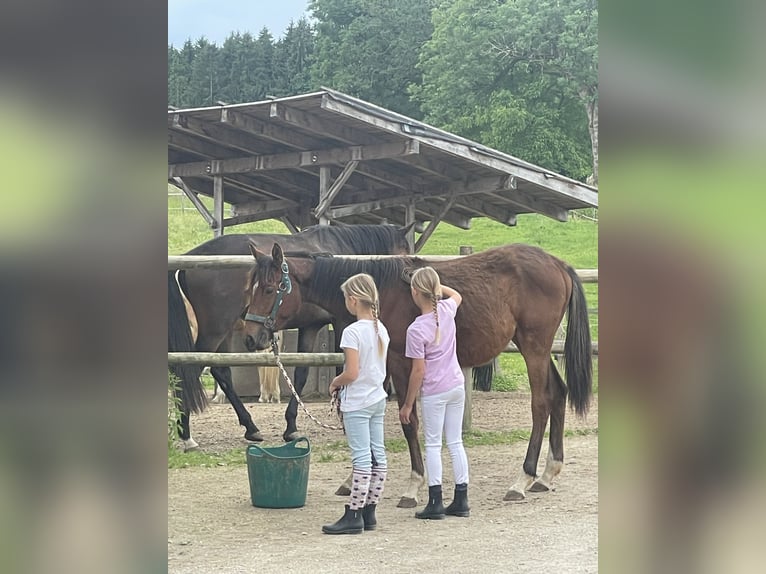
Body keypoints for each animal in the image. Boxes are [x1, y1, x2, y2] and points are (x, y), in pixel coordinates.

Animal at [168, 224, 412, 451]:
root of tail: (193, 255)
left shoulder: (311, 326)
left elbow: (301, 374)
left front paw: (291, 427)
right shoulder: (342, 322)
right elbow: (344, 369)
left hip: (226, 332)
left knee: (221, 371)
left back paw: (250, 427)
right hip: (215, 330)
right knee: (189, 371)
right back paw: (187, 434)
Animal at [242, 242, 592, 506]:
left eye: (270, 289)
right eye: (251, 288)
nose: (250, 337)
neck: (381, 294)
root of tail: (558, 264)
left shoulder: (401, 362)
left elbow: (408, 420)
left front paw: (413, 485)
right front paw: (357, 476)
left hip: (534, 347)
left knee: (541, 403)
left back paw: (523, 478)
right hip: (535, 348)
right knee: (558, 394)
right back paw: (547, 474)